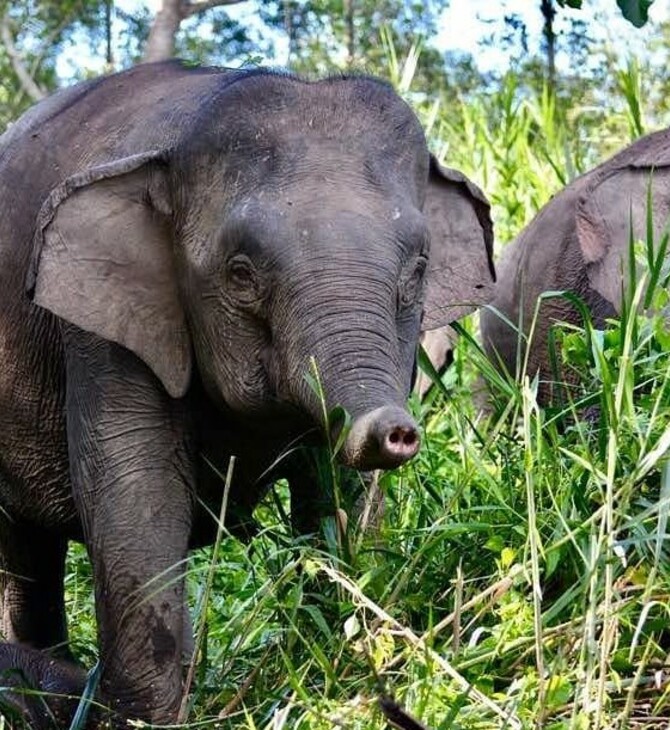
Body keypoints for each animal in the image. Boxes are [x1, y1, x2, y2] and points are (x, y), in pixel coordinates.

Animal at [0, 61, 496, 724]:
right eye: (240, 274)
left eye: (418, 269)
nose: (395, 430)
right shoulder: (102, 329)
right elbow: (138, 499)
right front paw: (145, 719)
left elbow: (338, 496)